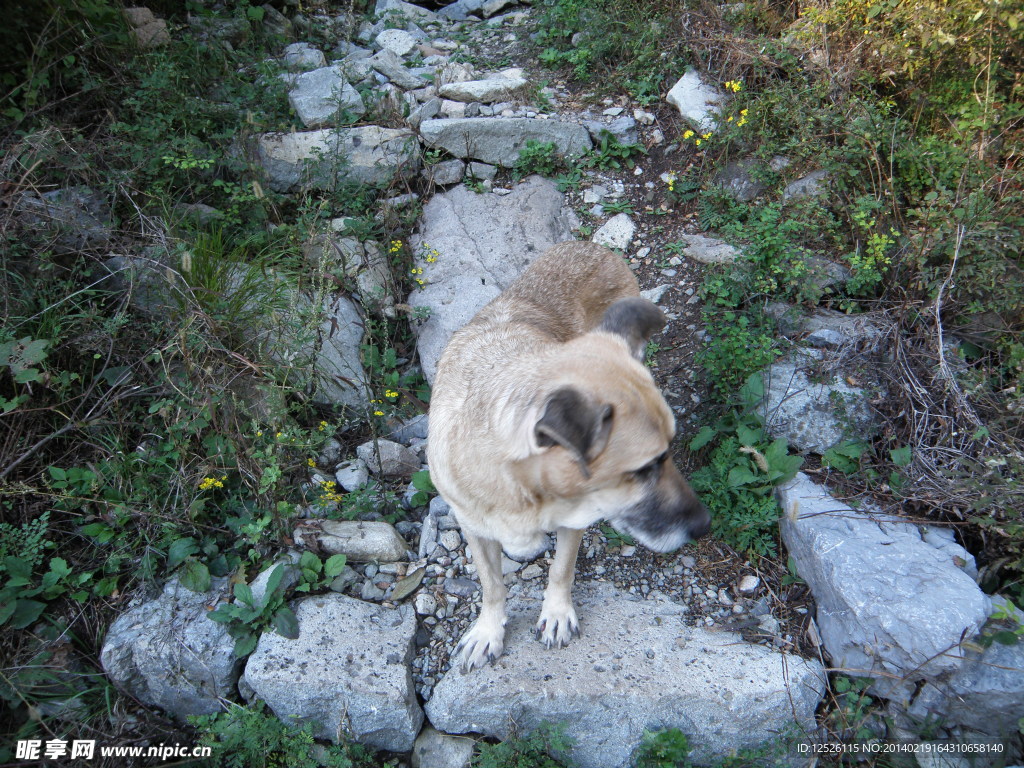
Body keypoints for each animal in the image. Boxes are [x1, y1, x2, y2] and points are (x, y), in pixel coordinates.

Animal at [428, 243, 708, 671]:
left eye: (670, 451)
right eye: (644, 468)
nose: (704, 525)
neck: (524, 489)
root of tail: (590, 245)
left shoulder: (575, 519)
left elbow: (562, 569)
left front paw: (557, 613)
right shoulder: (473, 527)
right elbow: (492, 585)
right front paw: (488, 630)